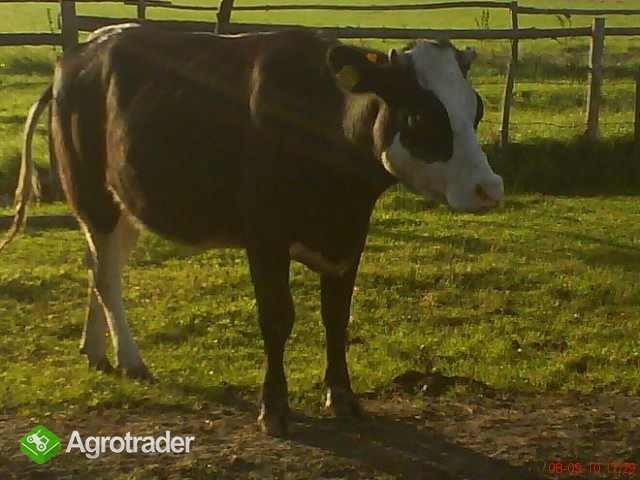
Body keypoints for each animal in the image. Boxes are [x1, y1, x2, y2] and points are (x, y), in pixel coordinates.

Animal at [1, 25, 503, 436]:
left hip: (126, 201)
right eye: (420, 114)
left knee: (100, 266)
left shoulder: (349, 237)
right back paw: (130, 359)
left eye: (475, 108)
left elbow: (336, 319)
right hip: (92, 195)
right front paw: (274, 407)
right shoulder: (265, 237)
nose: (489, 188)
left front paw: (343, 397)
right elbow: (277, 319)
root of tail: (77, 55)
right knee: (106, 277)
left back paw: (95, 351)